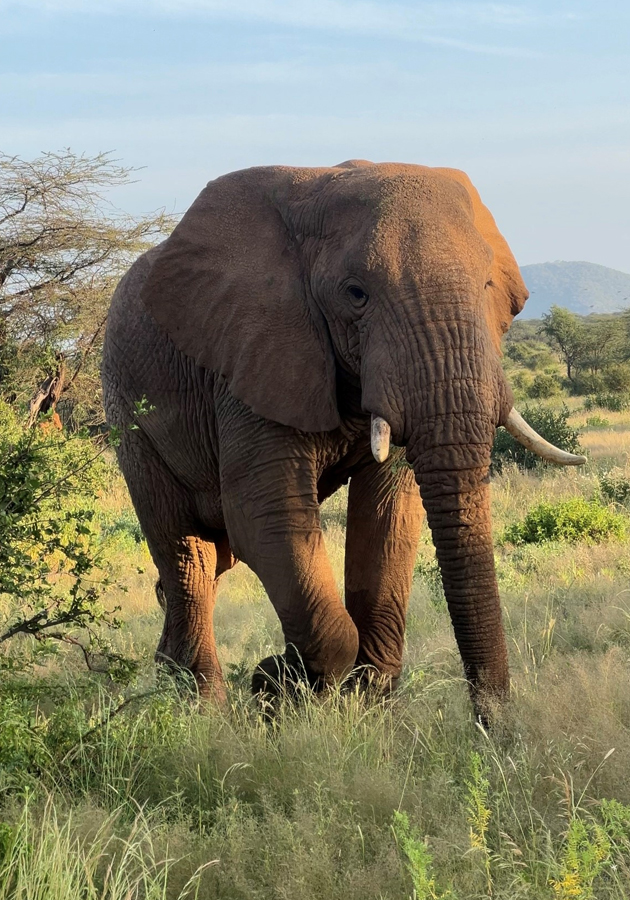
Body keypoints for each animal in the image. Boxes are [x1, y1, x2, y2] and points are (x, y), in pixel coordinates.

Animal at [100, 158, 588, 712]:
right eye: (356, 294)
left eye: (488, 287)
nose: (496, 728)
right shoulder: (252, 355)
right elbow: (265, 517)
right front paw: (278, 683)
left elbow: (389, 515)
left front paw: (363, 699)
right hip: (128, 413)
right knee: (190, 556)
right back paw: (203, 707)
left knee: (209, 561)